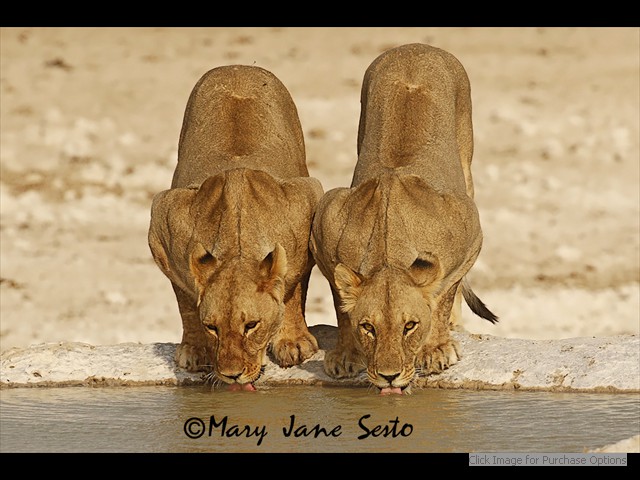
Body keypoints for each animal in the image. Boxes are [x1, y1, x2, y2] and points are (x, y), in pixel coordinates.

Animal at [148, 65, 323, 390]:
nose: (231, 374)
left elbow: (293, 288)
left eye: (251, 326)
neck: (237, 241)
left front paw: (293, 342)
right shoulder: (163, 223)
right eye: (212, 327)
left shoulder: (307, 199)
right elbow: (184, 298)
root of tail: (238, 66)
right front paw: (194, 349)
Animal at [310, 43, 497, 394]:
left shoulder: (470, 231)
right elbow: (340, 301)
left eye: (410, 326)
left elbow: (444, 293)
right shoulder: (323, 231)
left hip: (466, 163)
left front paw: (436, 349)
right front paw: (345, 355)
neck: (387, 250)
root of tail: (416, 47)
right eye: (368, 327)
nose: (389, 376)